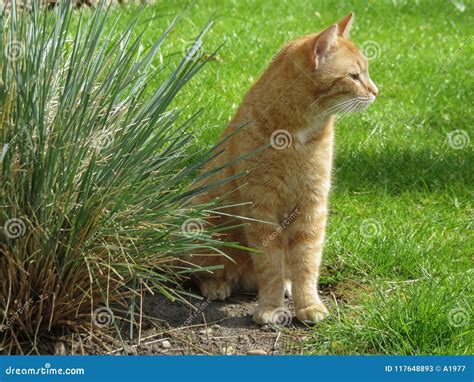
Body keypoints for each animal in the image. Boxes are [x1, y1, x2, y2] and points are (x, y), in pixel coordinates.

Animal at [189, 11, 378, 324]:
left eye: (366, 72)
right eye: (354, 76)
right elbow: (269, 265)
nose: (376, 91)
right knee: (198, 271)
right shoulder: (261, 208)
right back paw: (217, 284)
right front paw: (270, 307)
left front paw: (308, 305)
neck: (297, 136)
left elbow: (307, 262)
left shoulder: (312, 207)